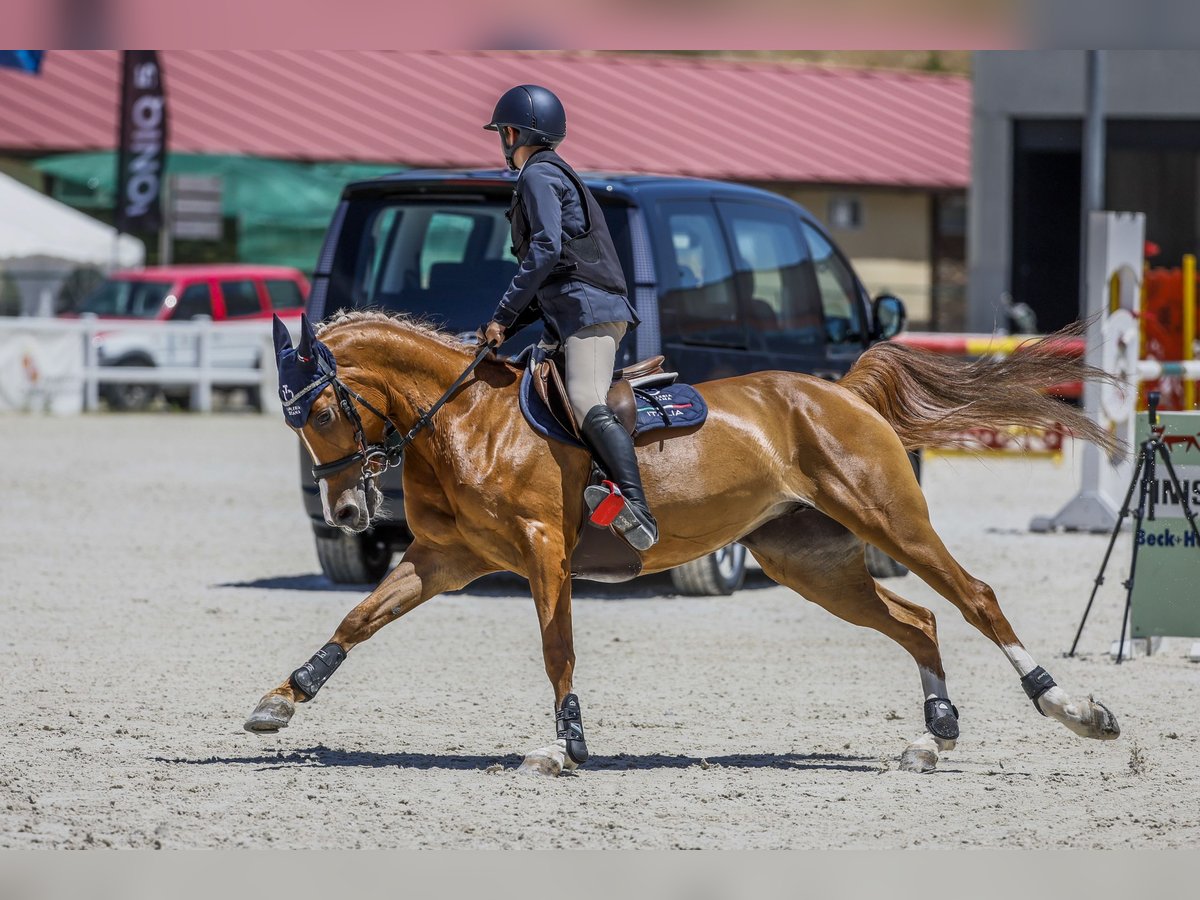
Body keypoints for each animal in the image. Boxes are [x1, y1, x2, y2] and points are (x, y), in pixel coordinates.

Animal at [246, 312, 1123, 777]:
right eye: (293, 418)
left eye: (319, 411)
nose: (349, 511)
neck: (467, 421)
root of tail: (841, 392)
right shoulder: (444, 561)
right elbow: (359, 619)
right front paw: (283, 699)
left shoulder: (543, 553)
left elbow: (558, 651)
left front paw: (563, 747)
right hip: (809, 561)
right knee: (919, 622)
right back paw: (933, 736)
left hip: (891, 522)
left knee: (973, 600)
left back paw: (1073, 708)